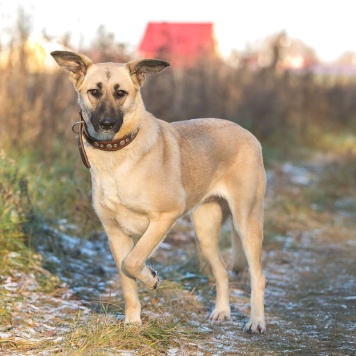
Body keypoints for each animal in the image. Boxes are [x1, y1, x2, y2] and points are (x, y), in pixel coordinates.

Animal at [50, 50, 268, 334]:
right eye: (94, 92)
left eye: (121, 93)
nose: (106, 123)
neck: (118, 154)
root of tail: (245, 132)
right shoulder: (115, 235)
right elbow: (126, 276)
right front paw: (133, 322)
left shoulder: (165, 217)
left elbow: (133, 262)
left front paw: (151, 279)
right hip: (204, 231)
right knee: (221, 270)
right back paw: (222, 311)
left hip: (246, 220)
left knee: (258, 276)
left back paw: (256, 321)